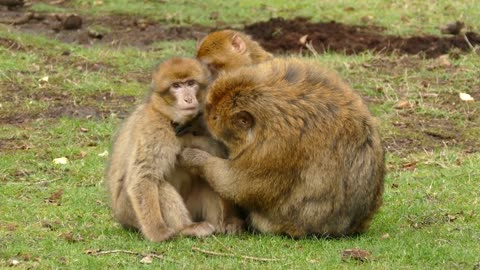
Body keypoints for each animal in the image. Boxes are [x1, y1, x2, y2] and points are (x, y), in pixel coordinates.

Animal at [108, 57, 244, 243]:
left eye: (191, 83)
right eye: (176, 86)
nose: (188, 98)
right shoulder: (154, 128)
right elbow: (143, 177)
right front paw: (157, 232)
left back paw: (224, 223)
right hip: (128, 212)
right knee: (159, 184)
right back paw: (186, 228)